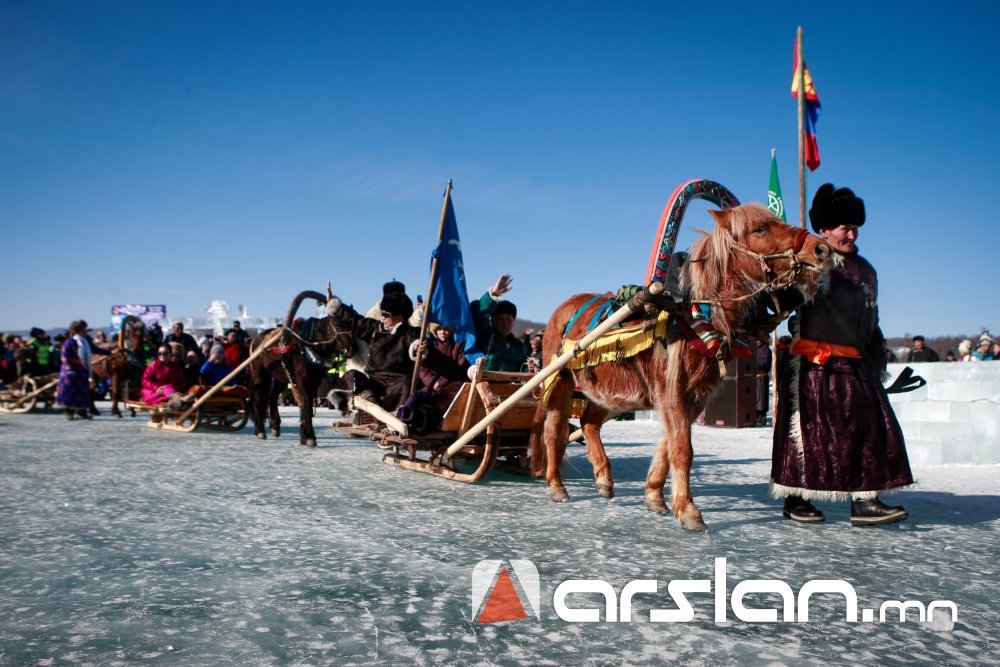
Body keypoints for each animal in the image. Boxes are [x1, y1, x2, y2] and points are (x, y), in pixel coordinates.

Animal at [247, 290, 354, 446]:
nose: (350, 348)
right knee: (258, 398)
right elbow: (307, 403)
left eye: (352, 323)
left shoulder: (314, 381)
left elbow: (306, 405)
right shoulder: (302, 380)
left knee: (272, 396)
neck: (308, 344)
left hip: (280, 376)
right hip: (260, 374)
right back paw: (260, 430)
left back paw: (275, 426)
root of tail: (256, 339)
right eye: (335, 322)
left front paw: (304, 435)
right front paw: (309, 436)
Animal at [532, 204, 836, 532]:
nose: (822, 249)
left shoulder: (693, 395)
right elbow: (682, 448)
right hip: (559, 382)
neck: (693, 314)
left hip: (609, 393)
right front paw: (687, 509)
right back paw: (556, 485)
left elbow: (669, 444)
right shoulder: (671, 391)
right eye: (759, 229)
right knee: (553, 432)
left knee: (588, 423)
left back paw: (603, 478)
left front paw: (655, 496)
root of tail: (564, 308)